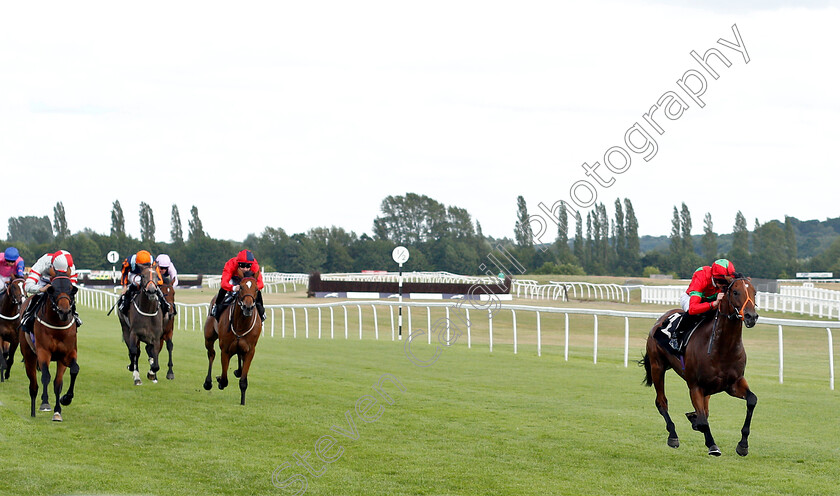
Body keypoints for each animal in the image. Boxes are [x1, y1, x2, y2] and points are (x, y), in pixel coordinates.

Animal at [18, 274, 79, 420]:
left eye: (71, 290)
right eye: (53, 290)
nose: (64, 311)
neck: (58, 327)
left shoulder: (66, 355)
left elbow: (67, 376)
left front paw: (63, 403)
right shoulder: (43, 352)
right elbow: (46, 376)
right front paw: (45, 403)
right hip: (29, 356)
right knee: (33, 385)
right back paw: (33, 411)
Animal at [202, 274, 260, 404]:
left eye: (256, 289)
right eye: (241, 287)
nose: (248, 307)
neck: (241, 325)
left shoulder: (250, 351)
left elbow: (243, 381)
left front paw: (242, 402)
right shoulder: (225, 350)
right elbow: (224, 379)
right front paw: (219, 380)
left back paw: (238, 371)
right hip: (209, 337)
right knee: (211, 354)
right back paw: (208, 382)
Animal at [644, 276, 760, 458]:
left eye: (754, 292)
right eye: (735, 292)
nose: (751, 316)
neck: (723, 348)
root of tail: (660, 319)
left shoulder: (734, 383)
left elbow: (752, 400)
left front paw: (743, 445)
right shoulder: (695, 386)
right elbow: (704, 420)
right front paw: (712, 445)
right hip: (657, 367)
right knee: (661, 402)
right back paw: (673, 435)